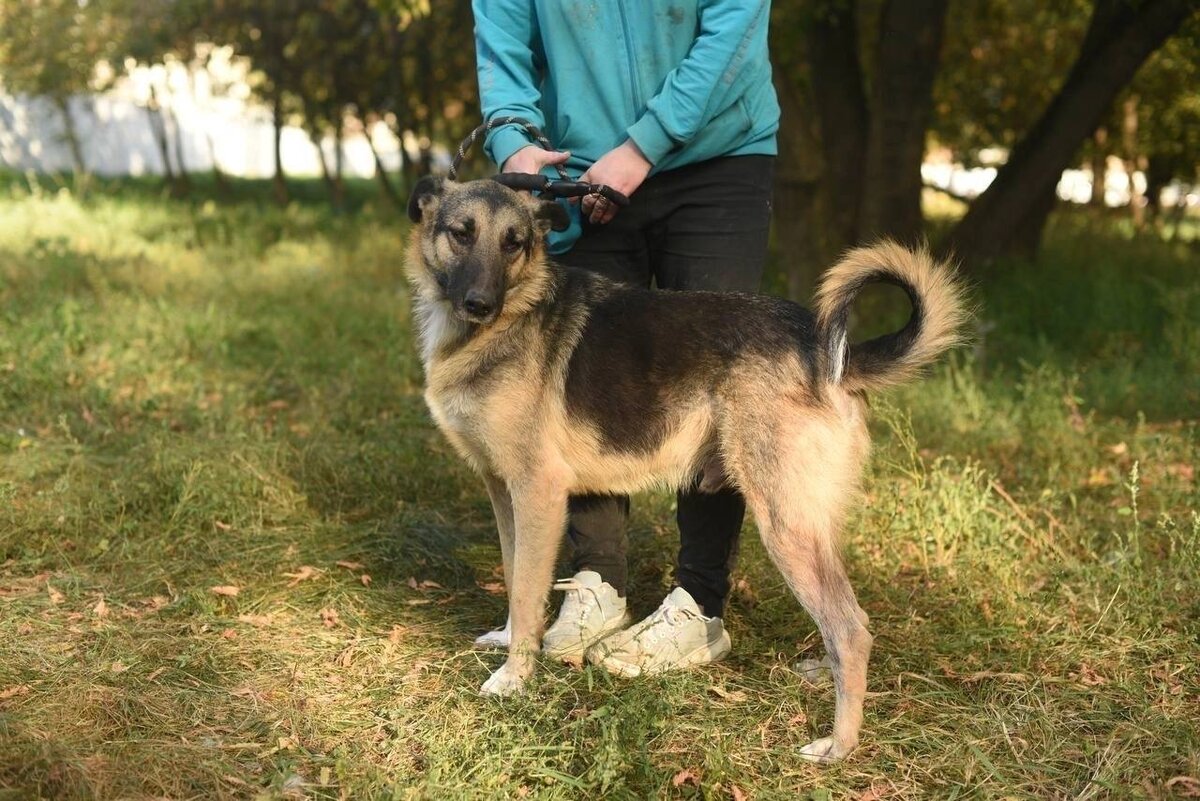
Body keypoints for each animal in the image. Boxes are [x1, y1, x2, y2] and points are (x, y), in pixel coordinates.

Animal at [403, 176, 964, 762]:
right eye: (461, 233)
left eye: (514, 243)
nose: (480, 304)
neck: (513, 311)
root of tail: (831, 351)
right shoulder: (503, 493)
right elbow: (515, 580)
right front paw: (509, 639)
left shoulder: (537, 493)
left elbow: (529, 588)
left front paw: (514, 677)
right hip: (807, 520)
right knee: (850, 623)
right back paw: (819, 675)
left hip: (784, 526)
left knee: (850, 629)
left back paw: (839, 744)